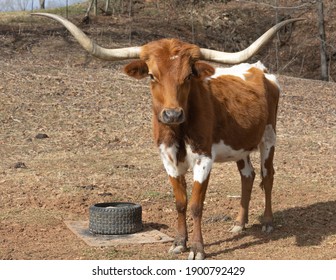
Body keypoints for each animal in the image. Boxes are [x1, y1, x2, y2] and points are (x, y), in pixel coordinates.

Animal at [32, 12, 300, 258]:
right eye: (152, 75)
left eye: (188, 75)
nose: (172, 114)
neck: (178, 130)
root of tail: (259, 69)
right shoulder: (167, 158)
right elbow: (180, 203)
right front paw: (180, 243)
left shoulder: (204, 158)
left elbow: (196, 205)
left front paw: (198, 249)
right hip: (240, 144)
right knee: (248, 175)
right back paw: (239, 223)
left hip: (269, 138)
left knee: (267, 175)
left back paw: (267, 222)